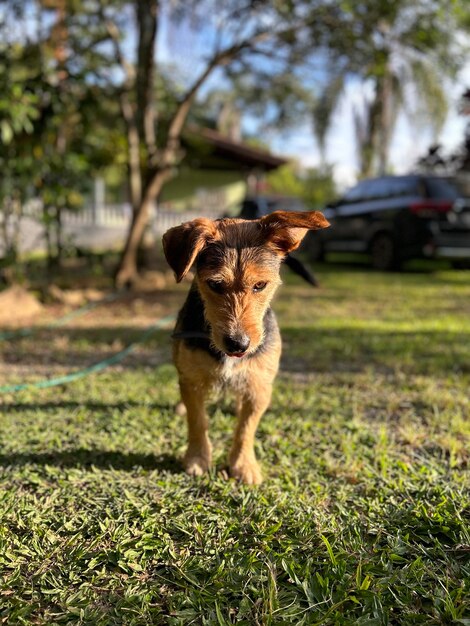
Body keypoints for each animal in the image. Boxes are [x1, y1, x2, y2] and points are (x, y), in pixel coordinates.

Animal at [163, 210, 328, 482]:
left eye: (260, 285)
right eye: (215, 284)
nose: (238, 344)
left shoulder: (260, 386)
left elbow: (246, 428)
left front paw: (243, 466)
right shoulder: (192, 381)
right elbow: (197, 420)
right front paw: (197, 459)